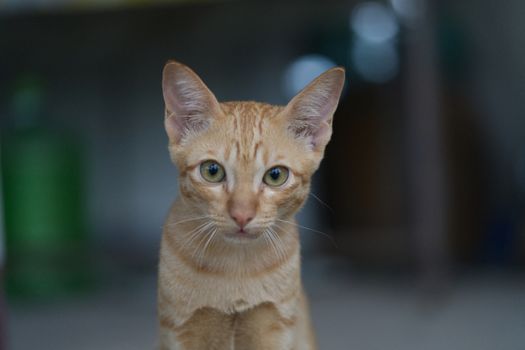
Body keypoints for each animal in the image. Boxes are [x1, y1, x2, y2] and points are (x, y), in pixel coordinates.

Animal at [159, 60, 348, 350]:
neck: (236, 266)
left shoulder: (275, 327)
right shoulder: (181, 329)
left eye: (276, 175)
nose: (242, 215)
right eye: (212, 171)